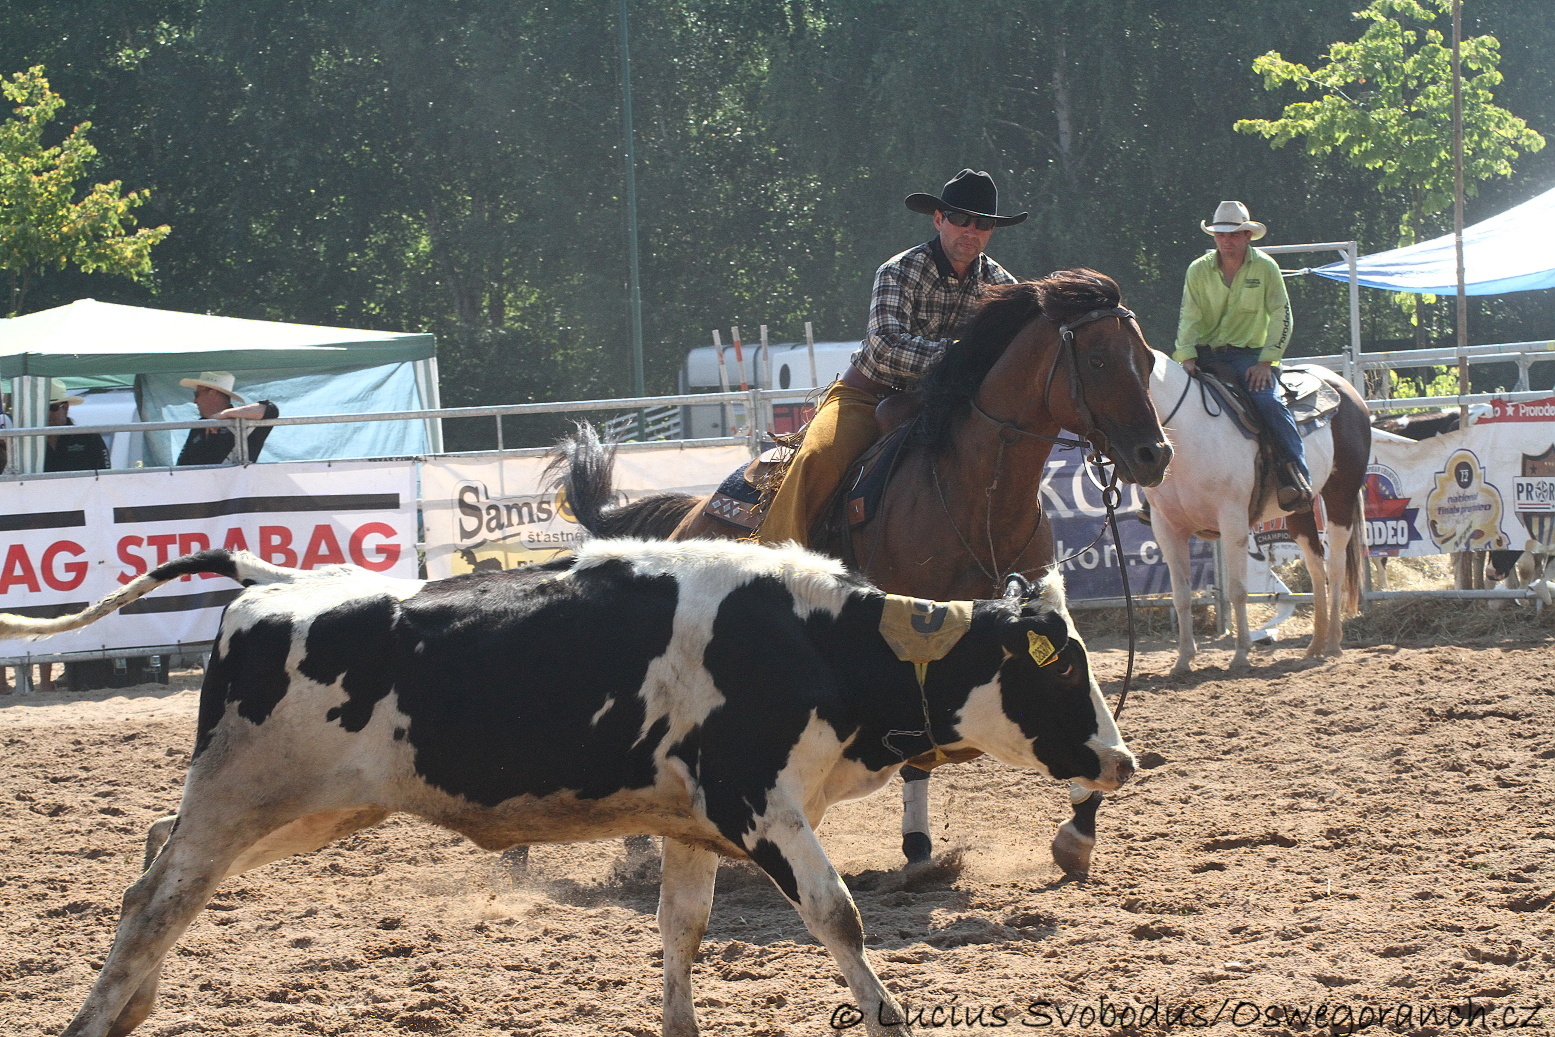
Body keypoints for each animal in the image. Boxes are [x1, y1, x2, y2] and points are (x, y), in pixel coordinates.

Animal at [6, 541, 1138, 1037]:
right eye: (1060, 670)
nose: (1122, 762)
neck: (811, 637)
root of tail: (270, 585)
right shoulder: (758, 805)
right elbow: (838, 914)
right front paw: (887, 1012)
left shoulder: (694, 823)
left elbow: (683, 928)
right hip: (243, 797)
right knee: (158, 897)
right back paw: (97, 1016)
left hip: (304, 808)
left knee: (150, 864)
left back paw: (134, 1001)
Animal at [550, 267, 1169, 876]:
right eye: (1097, 360)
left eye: (1145, 358)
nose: (1154, 455)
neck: (977, 494)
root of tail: (694, 512)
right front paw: (918, 846)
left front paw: (1078, 832)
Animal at [1144, 352, 1374, 677]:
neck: (1188, 428)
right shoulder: (1166, 527)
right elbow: (1181, 596)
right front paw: (1183, 660)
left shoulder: (1233, 521)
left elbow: (1237, 590)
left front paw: (1241, 654)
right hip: (1300, 509)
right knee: (1316, 566)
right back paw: (1315, 644)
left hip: (1341, 495)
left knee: (1336, 565)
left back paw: (1331, 643)